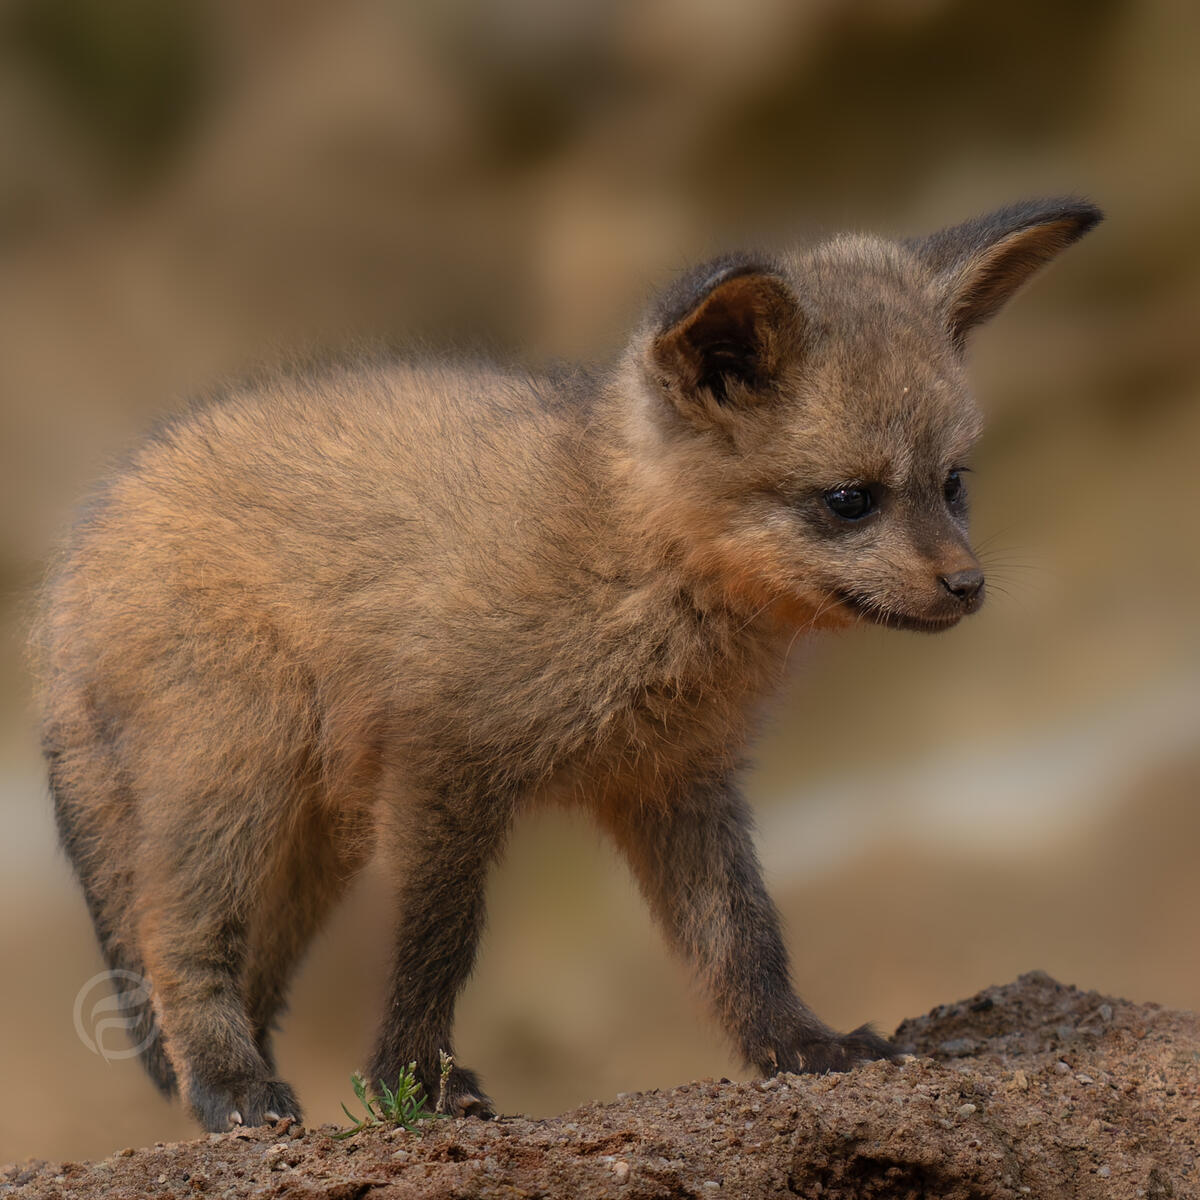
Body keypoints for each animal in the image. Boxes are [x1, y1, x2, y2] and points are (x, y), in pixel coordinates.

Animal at [34, 198, 1100, 1131]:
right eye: (850, 500)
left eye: (953, 485)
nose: (967, 587)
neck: (627, 572)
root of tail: (72, 561)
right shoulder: (444, 772)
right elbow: (437, 945)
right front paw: (411, 1084)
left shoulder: (679, 784)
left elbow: (742, 940)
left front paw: (801, 1047)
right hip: (238, 786)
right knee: (174, 940)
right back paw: (236, 1092)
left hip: (313, 842)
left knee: (233, 971)